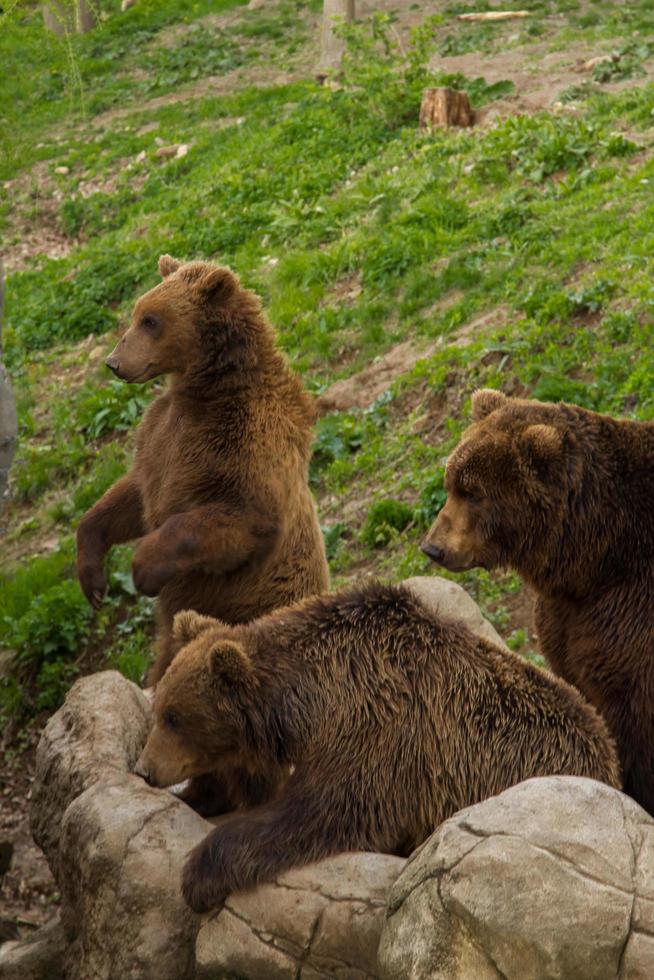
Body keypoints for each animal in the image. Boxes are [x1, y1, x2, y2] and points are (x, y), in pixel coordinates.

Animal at [77, 255, 330, 812]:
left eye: (152, 319)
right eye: (137, 312)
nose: (114, 362)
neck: (206, 390)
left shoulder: (243, 447)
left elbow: (225, 521)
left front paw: (143, 570)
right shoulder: (162, 439)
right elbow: (129, 498)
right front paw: (93, 578)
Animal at [135, 580, 624, 912]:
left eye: (174, 716)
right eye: (160, 707)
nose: (145, 769)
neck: (308, 703)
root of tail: (609, 757)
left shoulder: (376, 732)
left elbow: (320, 811)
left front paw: (198, 875)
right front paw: (199, 797)